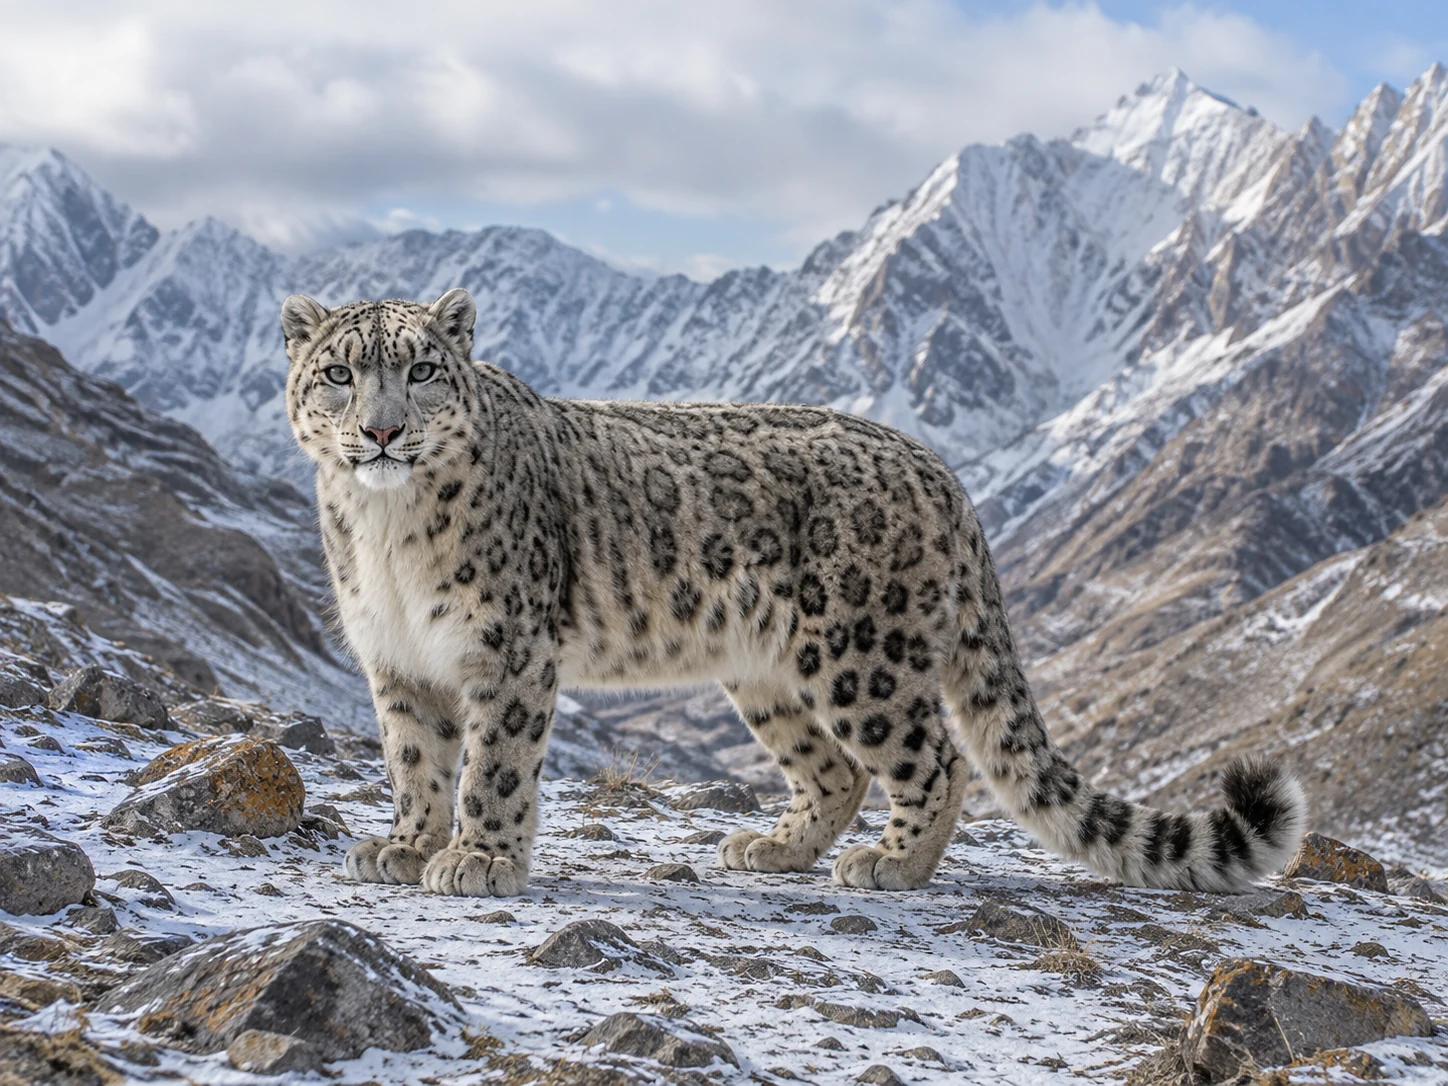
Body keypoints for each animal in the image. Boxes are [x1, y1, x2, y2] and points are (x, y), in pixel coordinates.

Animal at [281, 288, 1306, 898]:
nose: (381, 432)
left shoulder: (507, 651)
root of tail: (939, 469)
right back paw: (774, 847)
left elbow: (491, 762)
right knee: (836, 768)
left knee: (934, 756)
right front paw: (407, 845)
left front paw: (480, 859)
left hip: (861, 654)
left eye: (421, 369)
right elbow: (416, 759)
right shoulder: (397, 660)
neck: (385, 532)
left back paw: (889, 864)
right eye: (338, 372)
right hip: (766, 674)